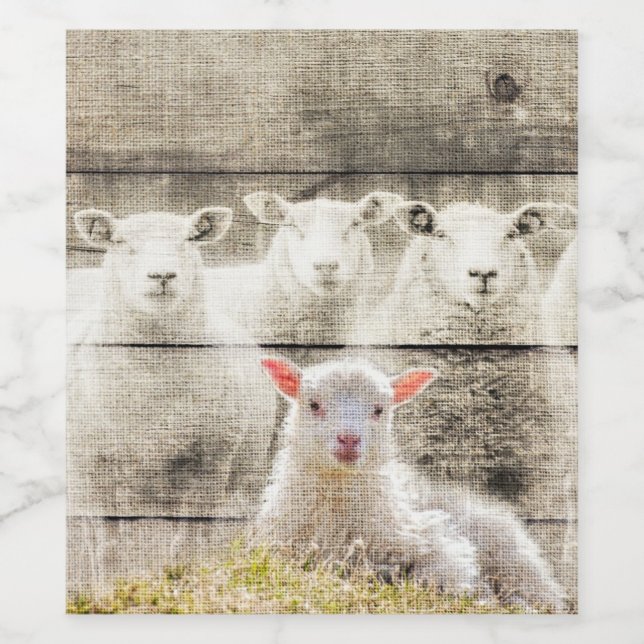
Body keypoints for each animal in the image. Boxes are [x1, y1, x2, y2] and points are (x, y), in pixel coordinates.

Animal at [253, 358, 566, 610]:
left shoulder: (441, 545)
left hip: (514, 561)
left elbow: (441, 577)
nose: (349, 440)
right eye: (314, 405)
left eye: (379, 410)